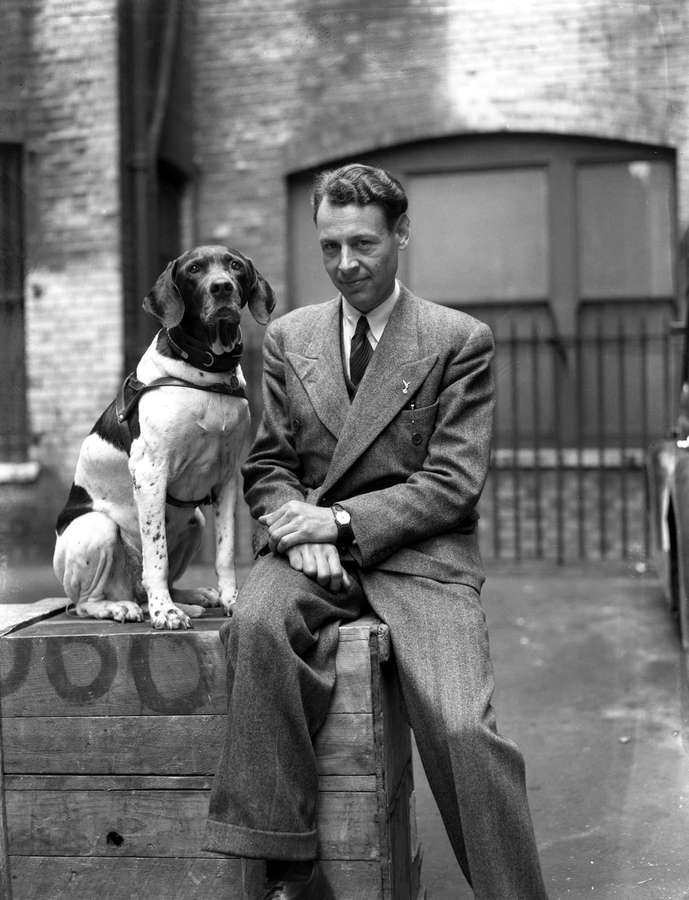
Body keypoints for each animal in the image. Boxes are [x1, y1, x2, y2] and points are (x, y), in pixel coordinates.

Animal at [52, 243, 276, 628]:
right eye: (194, 269)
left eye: (234, 265)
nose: (222, 288)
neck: (205, 373)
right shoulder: (150, 473)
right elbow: (156, 556)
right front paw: (165, 612)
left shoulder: (227, 478)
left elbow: (225, 552)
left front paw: (231, 599)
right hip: (97, 528)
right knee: (87, 602)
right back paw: (122, 607)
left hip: (195, 519)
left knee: (154, 584)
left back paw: (191, 598)